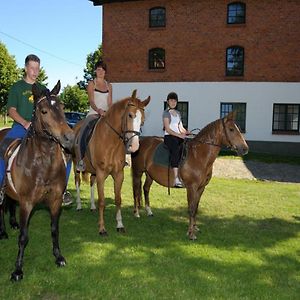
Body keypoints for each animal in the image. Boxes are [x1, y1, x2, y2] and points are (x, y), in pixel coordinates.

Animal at [0, 81, 74, 280]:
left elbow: (55, 230)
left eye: (62, 107)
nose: (69, 137)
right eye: (44, 111)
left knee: (9, 203)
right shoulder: (26, 203)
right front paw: (18, 270)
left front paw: (58, 257)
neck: (43, 165)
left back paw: (12, 223)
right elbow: (23, 237)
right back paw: (3, 231)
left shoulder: (55, 201)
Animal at [72, 90, 150, 236]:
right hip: (76, 165)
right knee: (78, 182)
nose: (134, 146)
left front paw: (119, 225)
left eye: (143, 120)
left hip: (93, 172)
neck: (111, 141)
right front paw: (102, 228)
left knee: (91, 182)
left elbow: (118, 199)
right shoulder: (101, 173)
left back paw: (92, 206)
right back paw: (79, 205)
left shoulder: (118, 174)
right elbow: (102, 201)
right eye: (130, 115)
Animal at [131, 111, 248, 240]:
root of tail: (142, 142)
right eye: (231, 129)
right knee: (136, 190)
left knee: (145, 188)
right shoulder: (191, 187)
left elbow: (196, 207)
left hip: (150, 175)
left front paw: (195, 228)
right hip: (137, 172)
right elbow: (191, 209)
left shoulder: (201, 188)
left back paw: (149, 211)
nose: (245, 149)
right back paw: (136, 213)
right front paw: (191, 233)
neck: (199, 155)